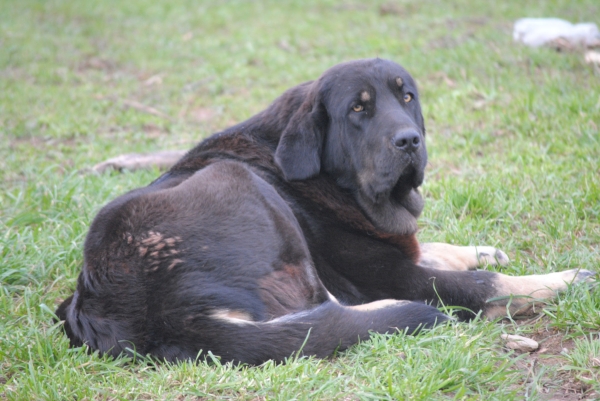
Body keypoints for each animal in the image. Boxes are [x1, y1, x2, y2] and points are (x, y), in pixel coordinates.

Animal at [57, 58, 596, 362]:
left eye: (407, 97)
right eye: (358, 109)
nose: (409, 140)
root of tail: (155, 316)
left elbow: (433, 247)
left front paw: (478, 250)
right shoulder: (392, 274)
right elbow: (486, 286)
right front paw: (564, 280)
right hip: (236, 182)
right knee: (332, 310)